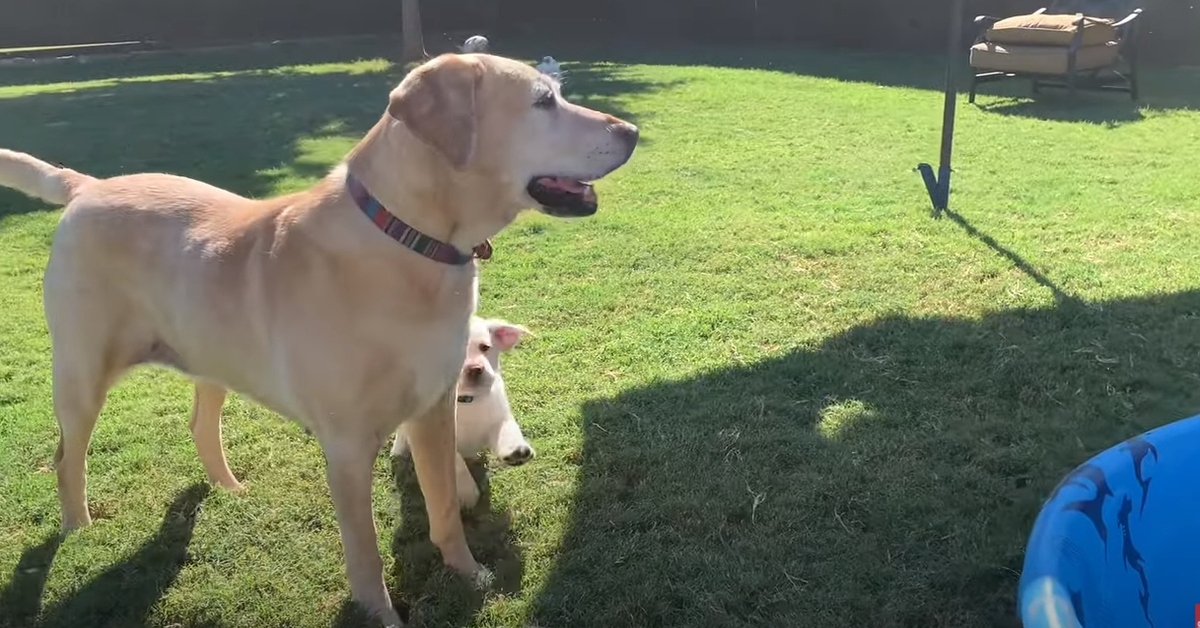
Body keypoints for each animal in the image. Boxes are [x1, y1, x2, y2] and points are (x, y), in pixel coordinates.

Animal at [391, 317, 532, 509]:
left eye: (485, 347)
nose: (475, 368)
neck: (466, 401)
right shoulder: (438, 438)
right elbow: (456, 462)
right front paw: (468, 493)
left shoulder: (499, 416)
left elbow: (508, 429)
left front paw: (517, 451)